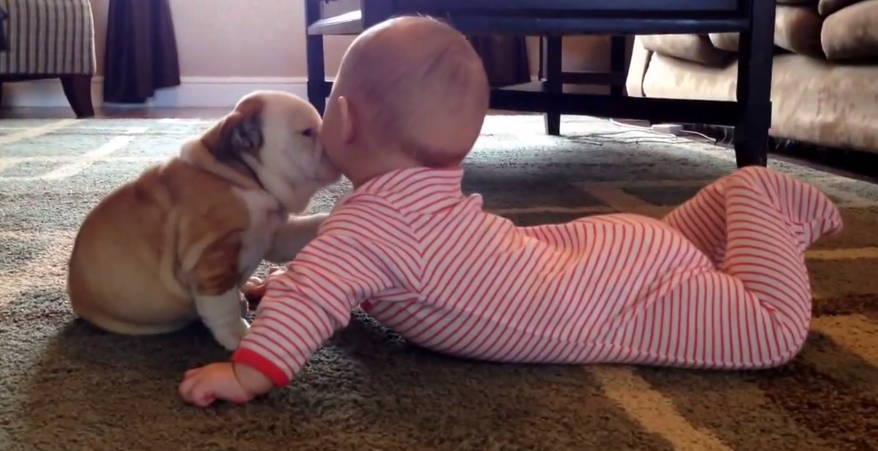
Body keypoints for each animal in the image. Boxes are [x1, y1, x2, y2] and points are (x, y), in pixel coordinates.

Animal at [64, 92, 340, 352]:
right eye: (307, 132)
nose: (330, 136)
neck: (241, 176)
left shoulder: (273, 234)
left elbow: (302, 230)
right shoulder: (213, 257)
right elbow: (222, 305)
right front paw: (239, 335)